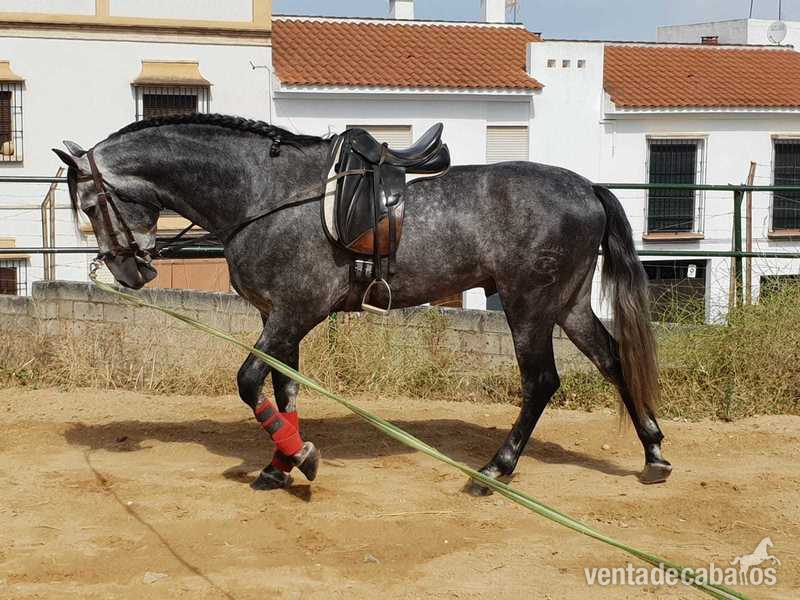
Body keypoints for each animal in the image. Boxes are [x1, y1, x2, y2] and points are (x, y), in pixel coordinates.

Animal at [53, 113, 672, 494]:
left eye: (90, 203)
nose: (128, 270)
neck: (267, 194)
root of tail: (587, 187)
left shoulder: (293, 313)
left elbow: (251, 383)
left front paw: (299, 458)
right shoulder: (279, 318)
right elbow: (285, 389)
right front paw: (281, 464)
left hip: (528, 307)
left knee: (541, 382)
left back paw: (495, 469)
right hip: (567, 305)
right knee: (613, 360)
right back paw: (654, 454)